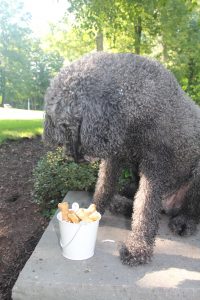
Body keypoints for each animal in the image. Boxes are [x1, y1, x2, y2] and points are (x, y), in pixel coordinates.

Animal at [43, 52, 200, 266]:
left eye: (71, 125)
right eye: (61, 127)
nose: (74, 157)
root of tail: (169, 205)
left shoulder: (155, 164)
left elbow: (145, 207)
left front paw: (138, 247)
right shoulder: (114, 157)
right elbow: (104, 187)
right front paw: (95, 209)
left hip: (195, 176)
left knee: (187, 208)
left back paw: (184, 221)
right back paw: (120, 203)